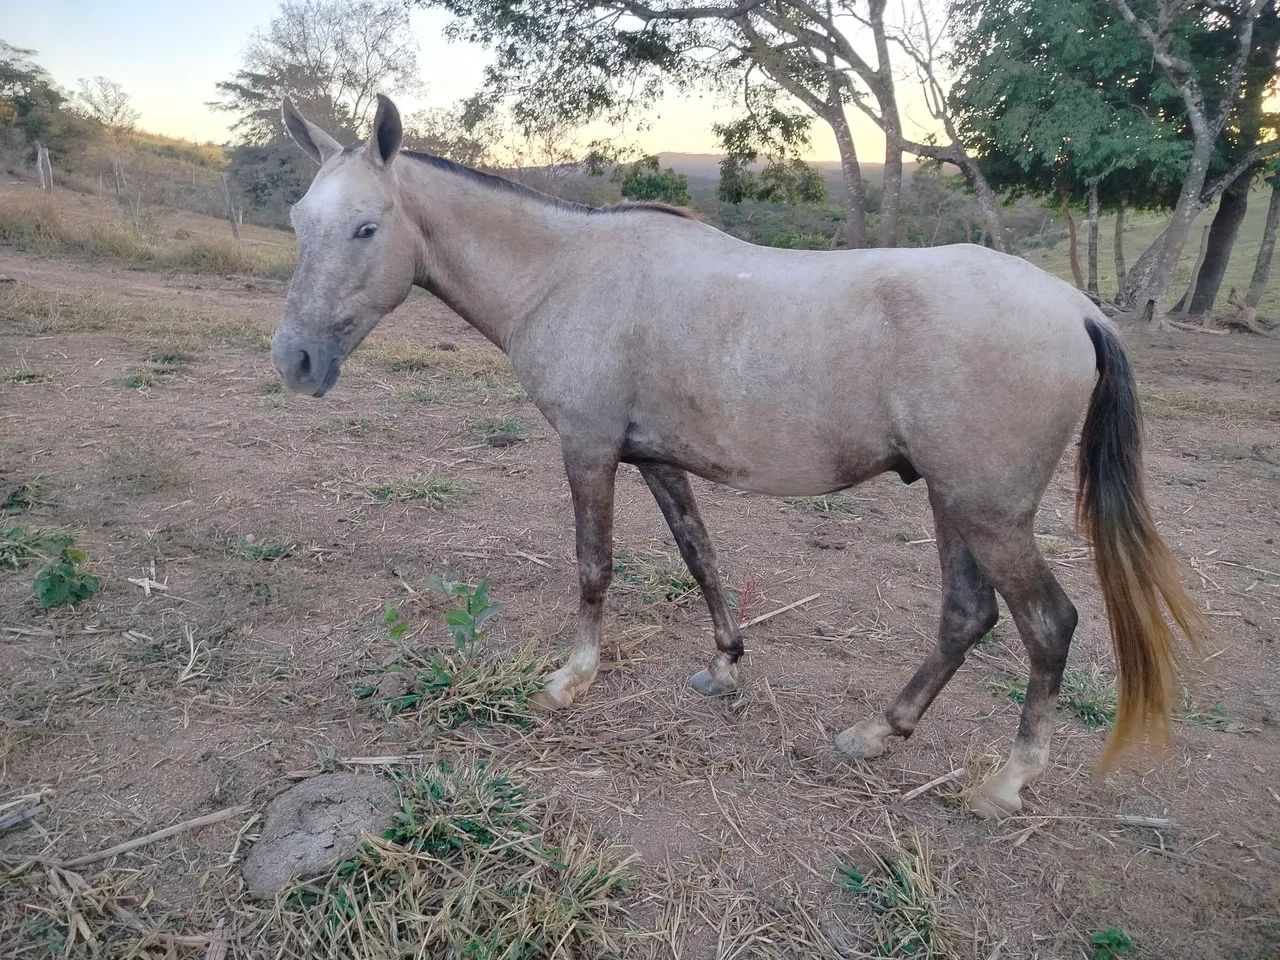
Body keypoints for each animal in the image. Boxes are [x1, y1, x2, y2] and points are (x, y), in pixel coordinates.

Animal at [270, 95, 1204, 819]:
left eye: (365, 227)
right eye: (298, 222)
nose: (296, 362)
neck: (567, 274)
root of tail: (1077, 308)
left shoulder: (588, 449)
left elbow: (593, 565)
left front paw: (573, 677)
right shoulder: (653, 458)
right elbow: (699, 554)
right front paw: (723, 663)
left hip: (988, 511)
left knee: (1048, 625)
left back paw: (1007, 783)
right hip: (954, 503)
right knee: (965, 617)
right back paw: (877, 733)